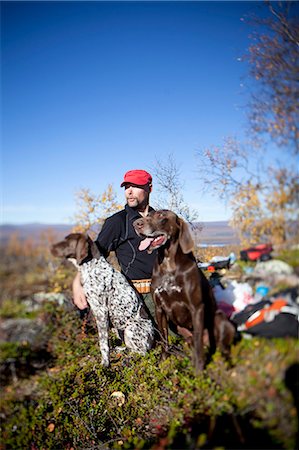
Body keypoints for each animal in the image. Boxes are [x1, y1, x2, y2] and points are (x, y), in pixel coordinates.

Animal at [50, 234, 155, 368]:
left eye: (67, 241)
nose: (51, 248)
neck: (92, 267)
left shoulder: (101, 311)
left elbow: (103, 343)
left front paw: (105, 363)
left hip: (130, 329)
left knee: (142, 352)